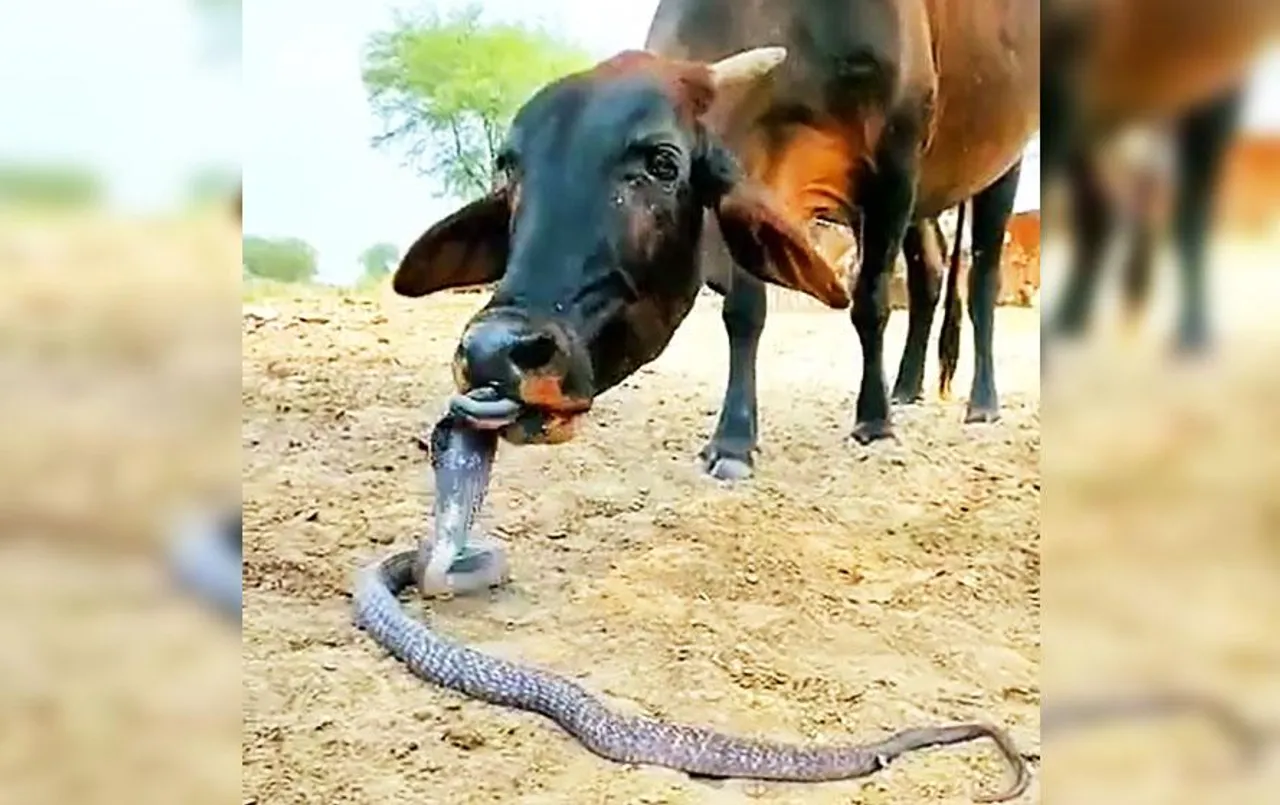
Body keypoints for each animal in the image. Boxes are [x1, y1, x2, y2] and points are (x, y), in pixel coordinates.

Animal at [391, 0, 1039, 481]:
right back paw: (906, 387)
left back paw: (980, 402)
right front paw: (732, 441)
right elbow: (744, 313)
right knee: (928, 272)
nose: (494, 352)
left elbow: (871, 302)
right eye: (510, 166)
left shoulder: (895, 167)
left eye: (662, 162)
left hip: (998, 169)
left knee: (982, 277)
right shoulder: (758, 175)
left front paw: (873, 422)